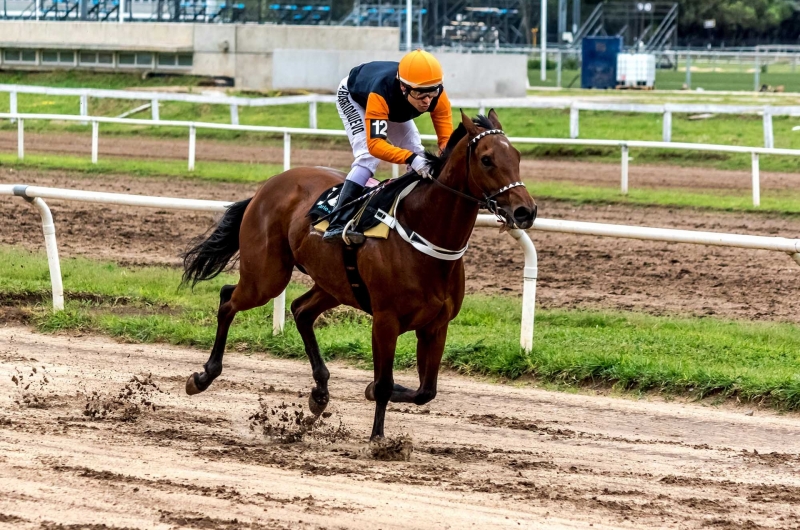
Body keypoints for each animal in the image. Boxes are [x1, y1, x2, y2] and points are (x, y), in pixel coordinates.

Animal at [181, 109, 536, 440]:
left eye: (517, 156)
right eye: (487, 159)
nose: (525, 211)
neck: (423, 232)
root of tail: (266, 187)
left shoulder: (436, 325)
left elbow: (425, 391)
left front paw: (369, 396)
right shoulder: (385, 320)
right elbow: (384, 383)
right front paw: (379, 439)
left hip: (334, 284)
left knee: (300, 310)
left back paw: (319, 394)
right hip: (266, 278)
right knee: (228, 299)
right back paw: (203, 376)